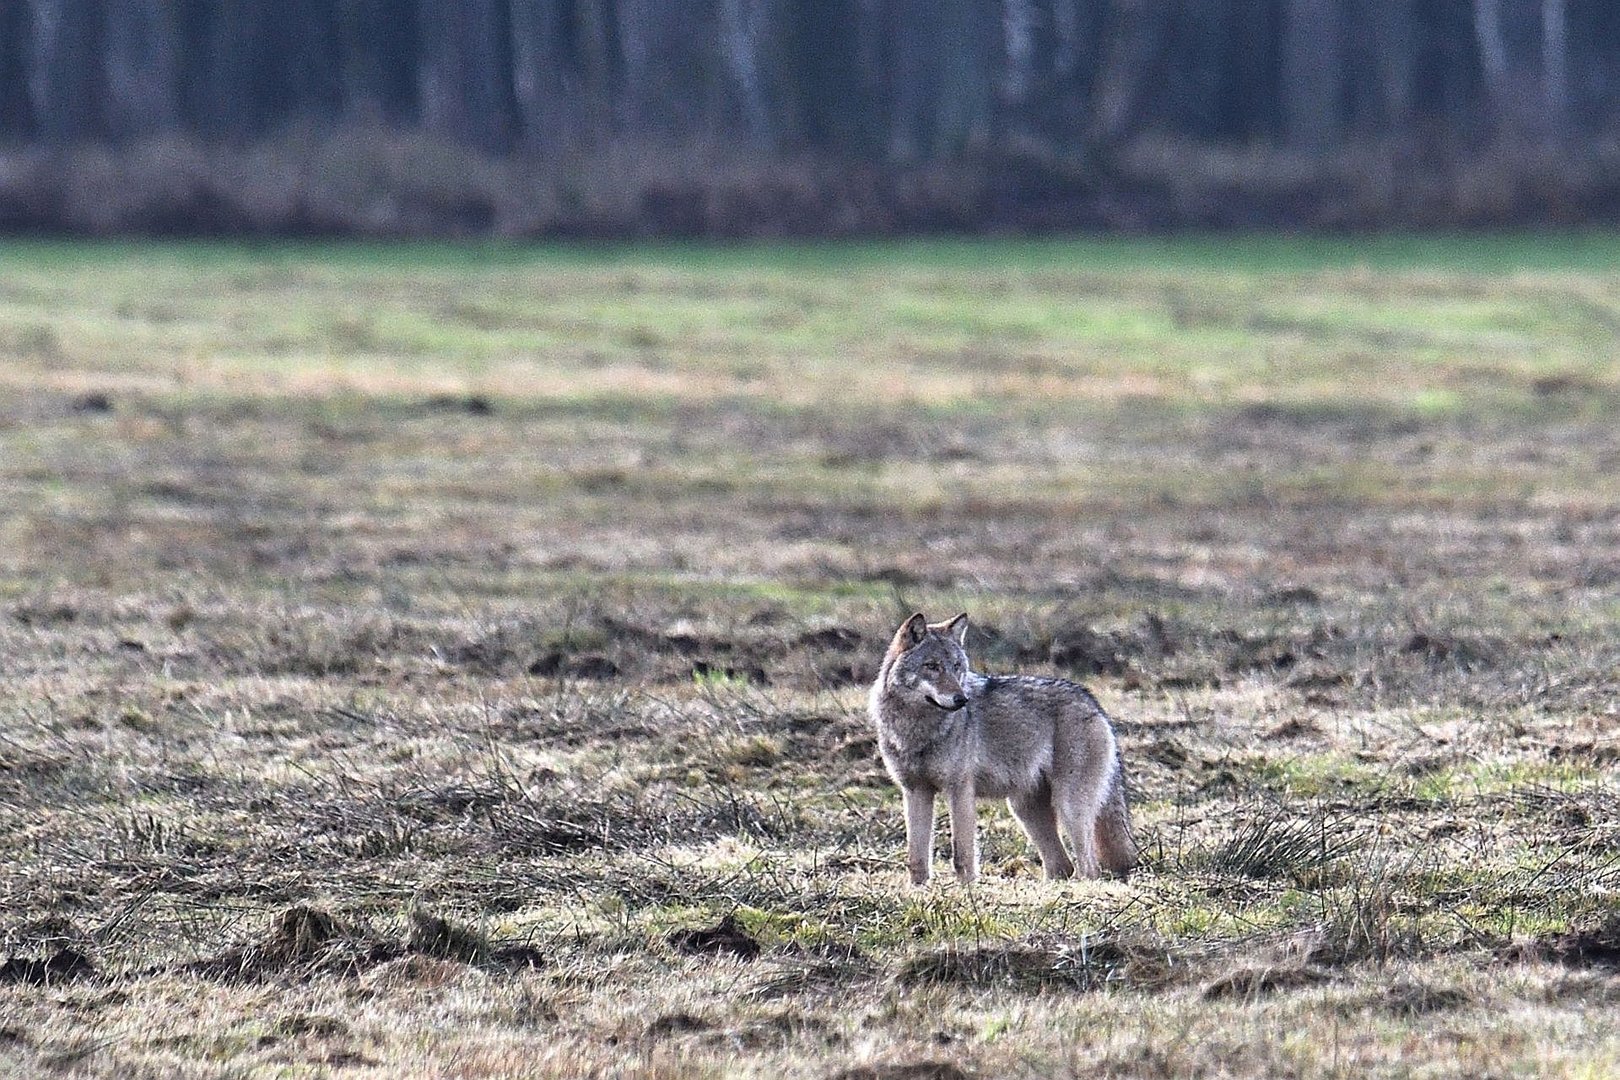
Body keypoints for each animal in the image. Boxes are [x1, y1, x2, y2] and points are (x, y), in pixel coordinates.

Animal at [868, 612, 1134, 893]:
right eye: (932, 666)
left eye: (956, 666)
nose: (961, 700)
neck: (916, 730)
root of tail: (1093, 702)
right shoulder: (915, 791)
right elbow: (917, 857)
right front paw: (917, 890)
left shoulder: (959, 790)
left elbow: (962, 853)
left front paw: (967, 890)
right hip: (1025, 810)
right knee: (1062, 866)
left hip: (1069, 807)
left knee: (1089, 867)